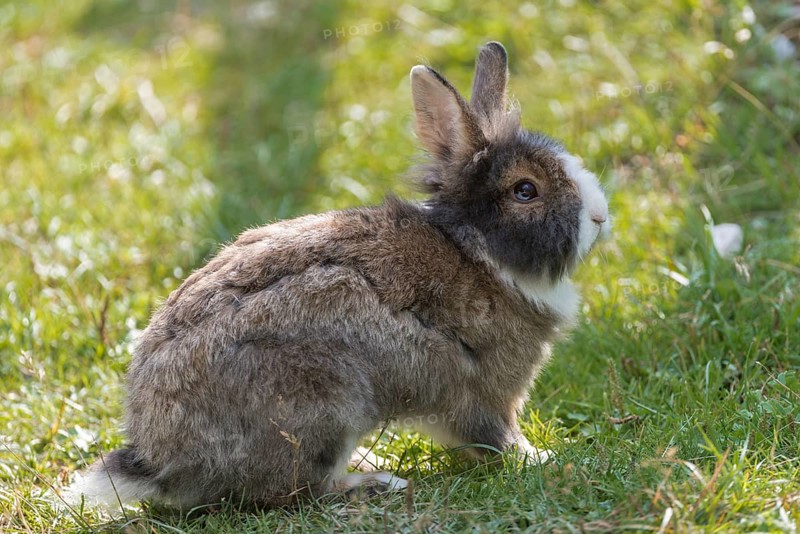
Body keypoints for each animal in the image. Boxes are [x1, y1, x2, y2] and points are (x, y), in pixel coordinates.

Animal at [66, 41, 610, 510]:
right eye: (525, 190)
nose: (601, 216)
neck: (477, 250)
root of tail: (159, 463)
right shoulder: (484, 390)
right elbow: (494, 436)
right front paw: (542, 458)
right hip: (325, 405)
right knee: (297, 490)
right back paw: (376, 480)